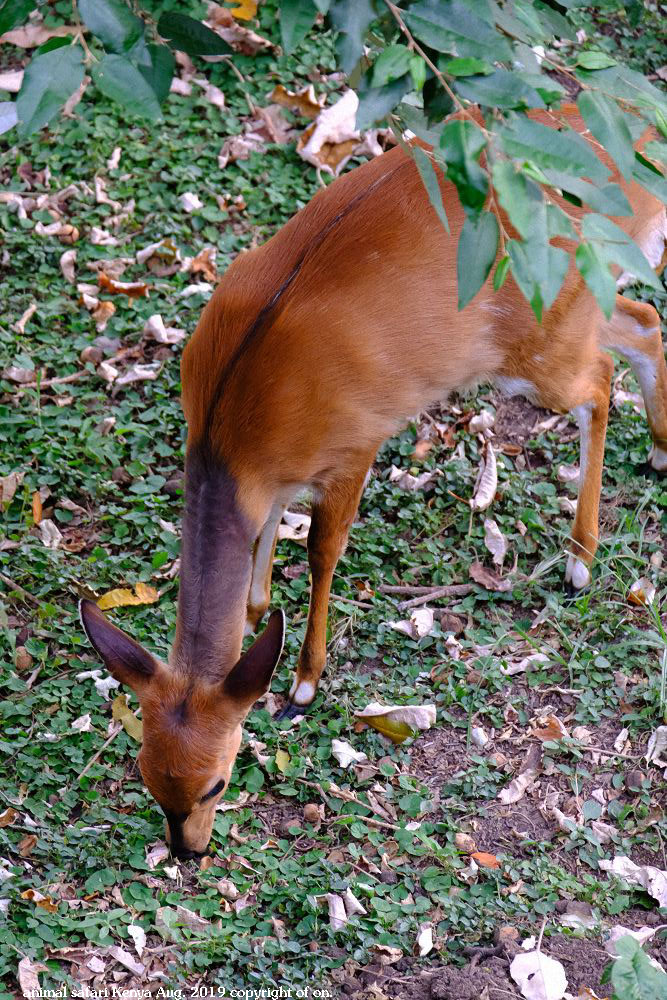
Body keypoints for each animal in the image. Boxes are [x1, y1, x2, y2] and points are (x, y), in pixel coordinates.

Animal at [79, 103, 667, 860]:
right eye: (148, 777)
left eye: (215, 783)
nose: (189, 851)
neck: (238, 412)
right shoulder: (269, 478)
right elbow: (265, 546)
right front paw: (256, 613)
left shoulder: (354, 445)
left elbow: (320, 551)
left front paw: (303, 683)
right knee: (640, 323)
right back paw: (657, 452)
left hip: (536, 350)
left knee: (600, 377)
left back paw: (579, 561)